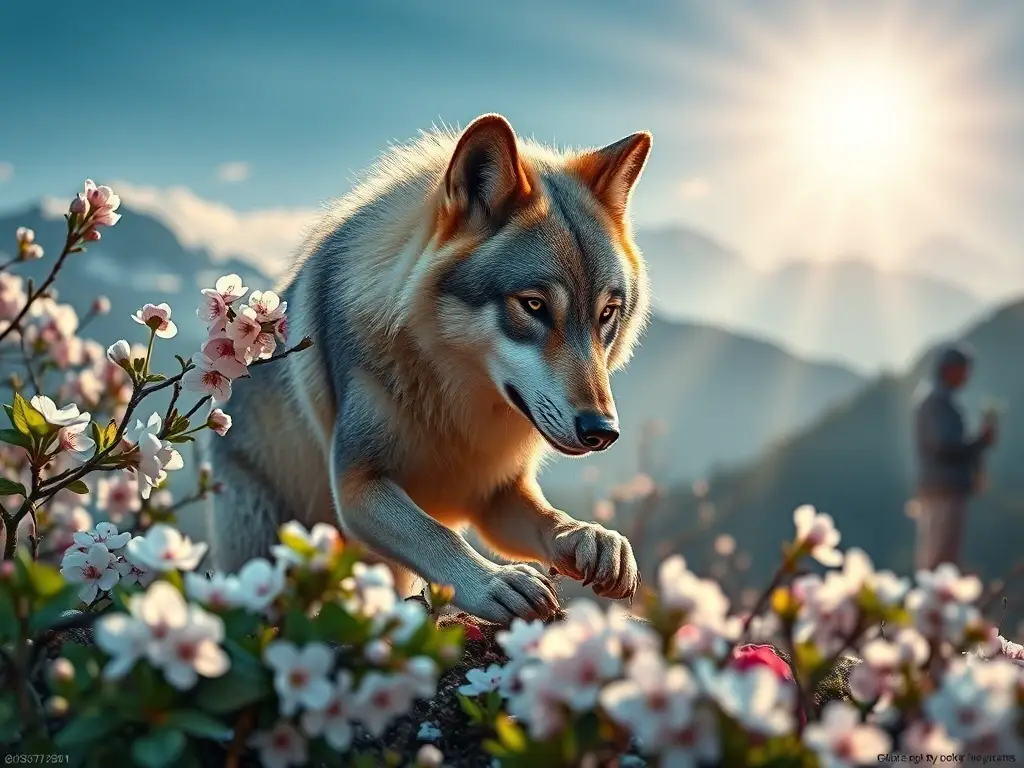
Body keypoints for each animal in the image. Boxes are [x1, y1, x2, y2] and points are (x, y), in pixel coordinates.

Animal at [208, 113, 653, 624]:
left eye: (606, 314)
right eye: (534, 305)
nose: (602, 431)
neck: (455, 403)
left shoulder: (496, 493)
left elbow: (552, 521)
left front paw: (595, 540)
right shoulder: (356, 484)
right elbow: (437, 534)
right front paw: (494, 582)